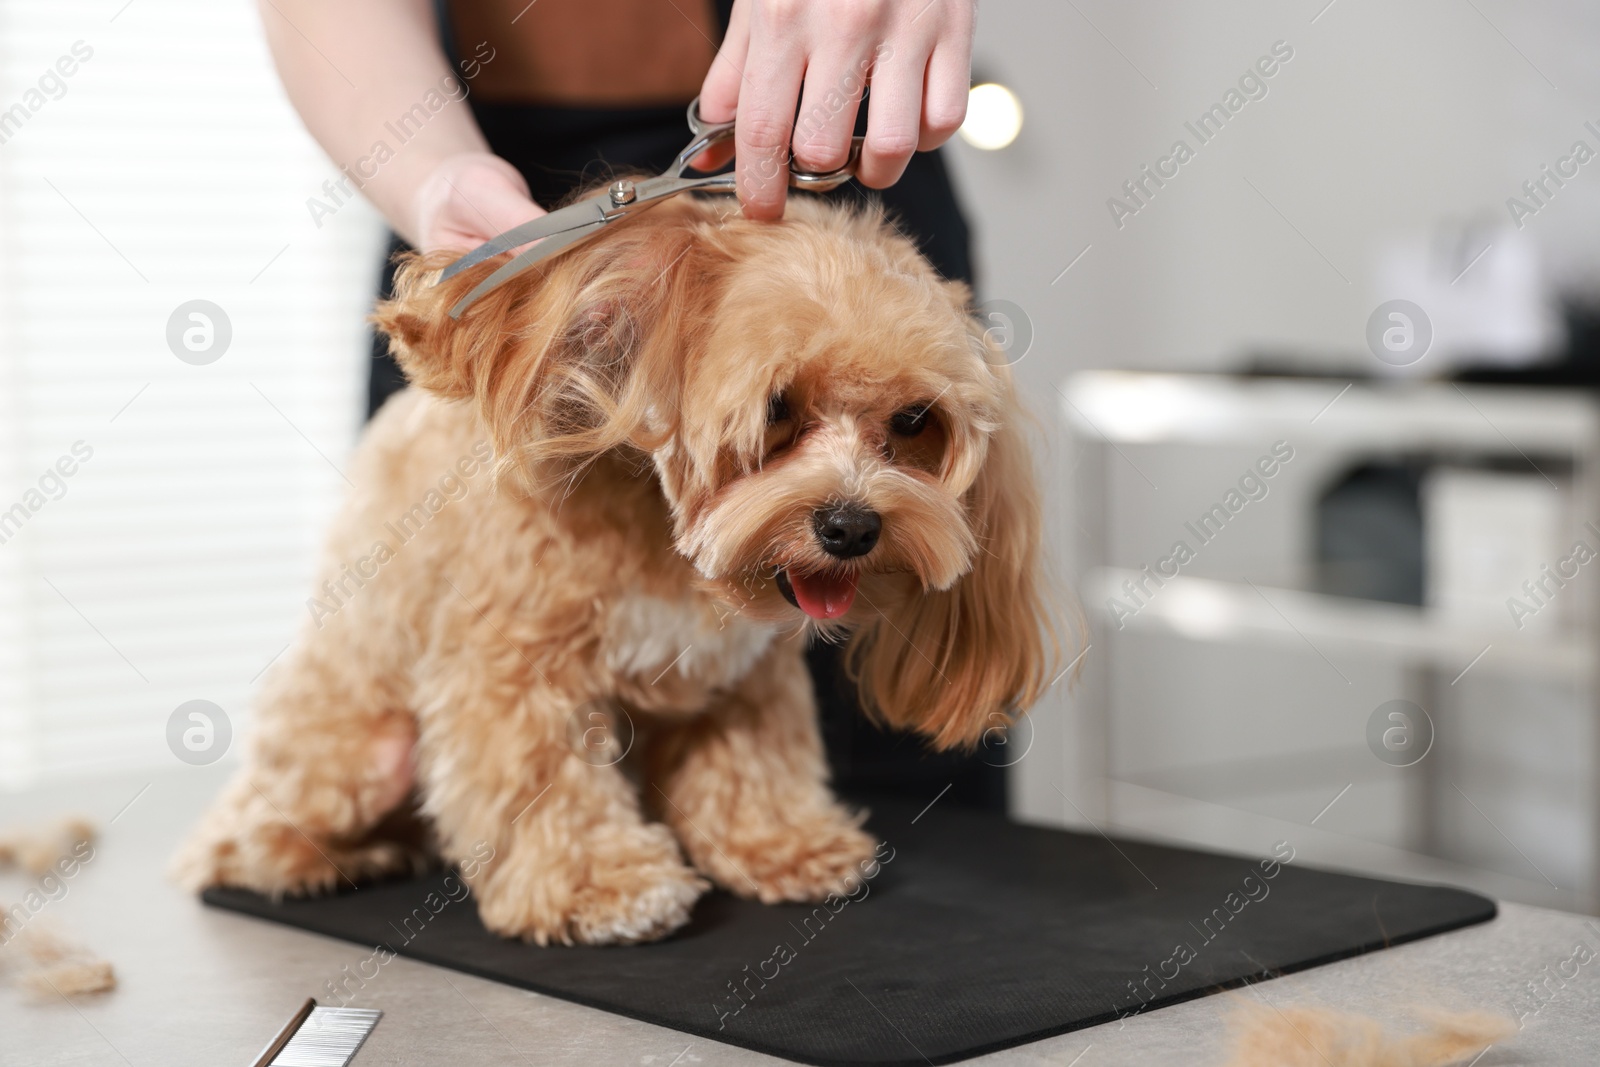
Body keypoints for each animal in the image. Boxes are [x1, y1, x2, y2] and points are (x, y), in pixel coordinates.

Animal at [175, 189, 1056, 940]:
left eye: (913, 421)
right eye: (778, 407)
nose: (850, 524)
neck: (660, 530)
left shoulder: (739, 674)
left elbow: (755, 764)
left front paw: (781, 843)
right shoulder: (514, 666)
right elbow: (541, 779)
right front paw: (601, 885)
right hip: (355, 754)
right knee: (239, 837)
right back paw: (325, 856)